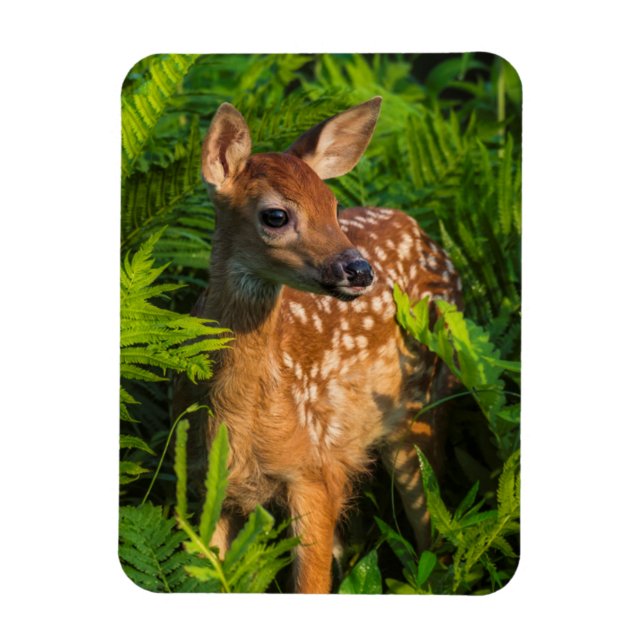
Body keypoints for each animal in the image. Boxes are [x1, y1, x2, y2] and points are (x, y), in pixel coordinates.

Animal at [173, 96, 463, 593]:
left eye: (332, 205)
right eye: (276, 215)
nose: (360, 270)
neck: (238, 417)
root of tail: (427, 236)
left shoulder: (312, 470)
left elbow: (311, 584)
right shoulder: (211, 487)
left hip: (426, 402)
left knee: (433, 528)